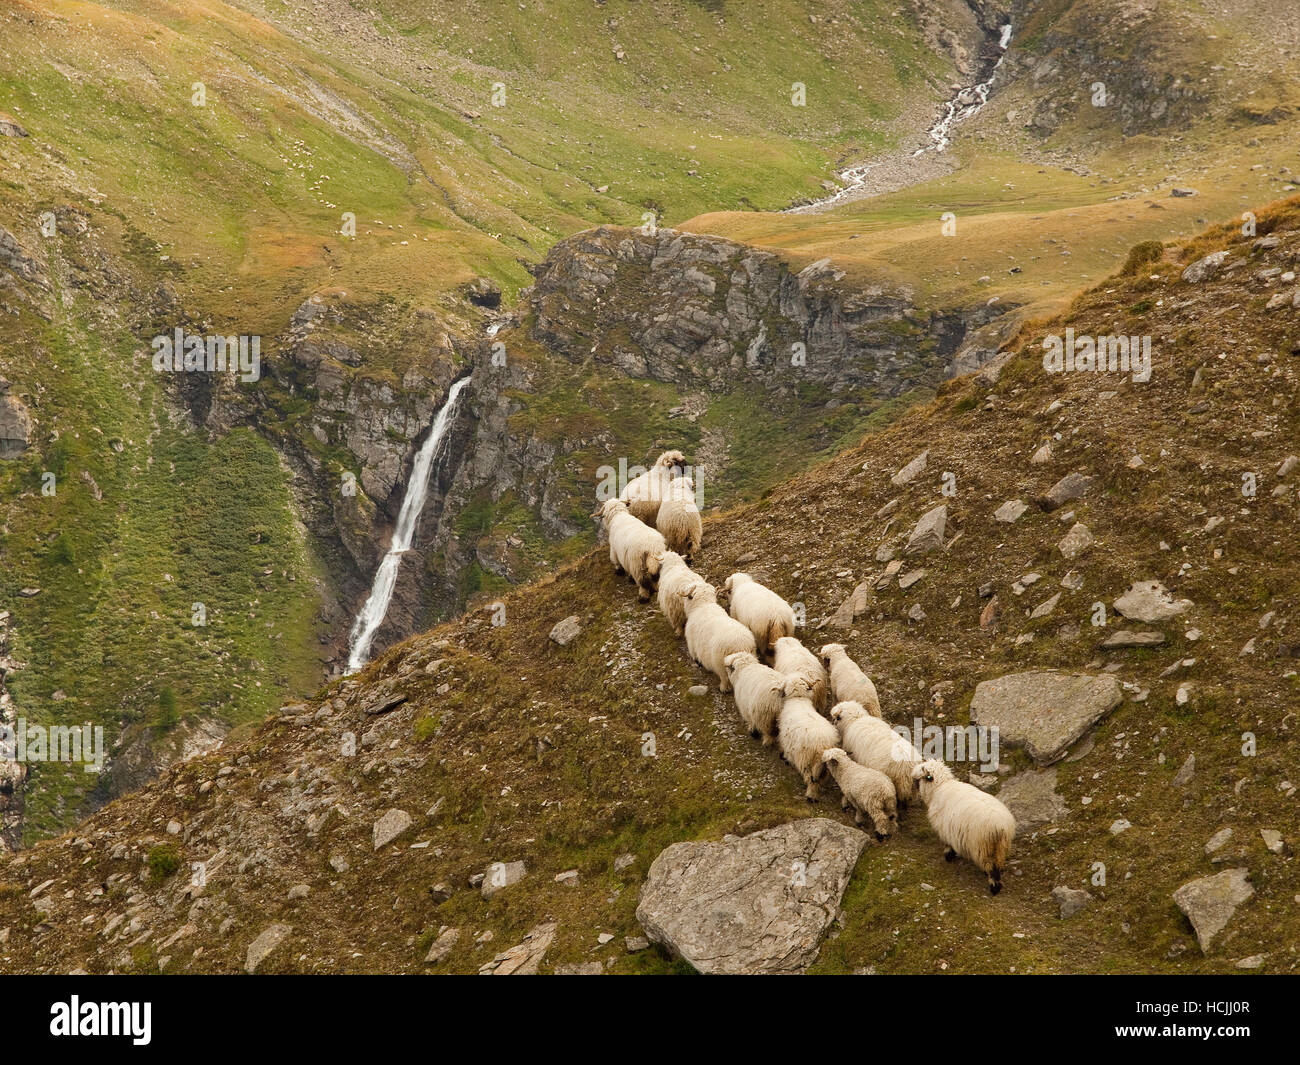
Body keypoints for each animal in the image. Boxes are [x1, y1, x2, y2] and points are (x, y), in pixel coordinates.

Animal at [909, 764, 1019, 894]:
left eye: (918, 778)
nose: (912, 783)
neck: (939, 787)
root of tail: (1000, 827)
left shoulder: (945, 830)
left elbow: (948, 845)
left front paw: (948, 856)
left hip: (982, 846)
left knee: (993, 868)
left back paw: (994, 888)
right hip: (1000, 846)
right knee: (997, 863)